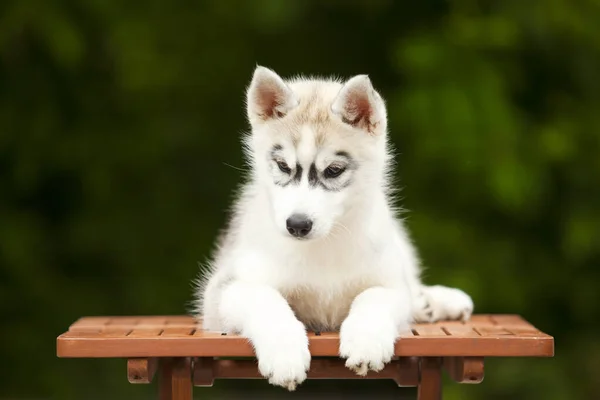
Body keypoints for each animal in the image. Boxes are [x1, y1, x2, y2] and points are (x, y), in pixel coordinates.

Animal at [195, 66, 472, 390]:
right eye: (283, 166)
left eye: (334, 170)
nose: (297, 225)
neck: (323, 246)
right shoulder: (222, 291)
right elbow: (265, 299)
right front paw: (285, 354)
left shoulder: (390, 285)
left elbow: (373, 297)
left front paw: (366, 342)